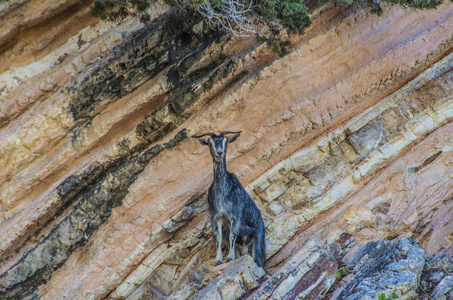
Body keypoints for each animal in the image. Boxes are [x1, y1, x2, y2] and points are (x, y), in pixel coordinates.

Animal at [191, 131, 264, 268]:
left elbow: (232, 234)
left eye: (226, 142)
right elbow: (218, 237)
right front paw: (218, 259)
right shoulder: (217, 217)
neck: (223, 191)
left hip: (257, 240)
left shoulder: (234, 216)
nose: (219, 153)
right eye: (210, 143)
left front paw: (230, 257)